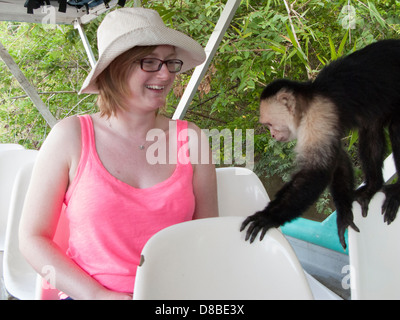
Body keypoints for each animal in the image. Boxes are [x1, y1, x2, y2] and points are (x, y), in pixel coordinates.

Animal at [241, 39, 400, 250]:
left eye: (269, 124)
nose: (273, 134)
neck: (308, 104)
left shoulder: (316, 118)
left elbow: (317, 172)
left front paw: (268, 217)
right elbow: (338, 159)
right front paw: (344, 214)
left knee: (396, 128)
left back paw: (397, 191)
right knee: (371, 128)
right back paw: (373, 186)